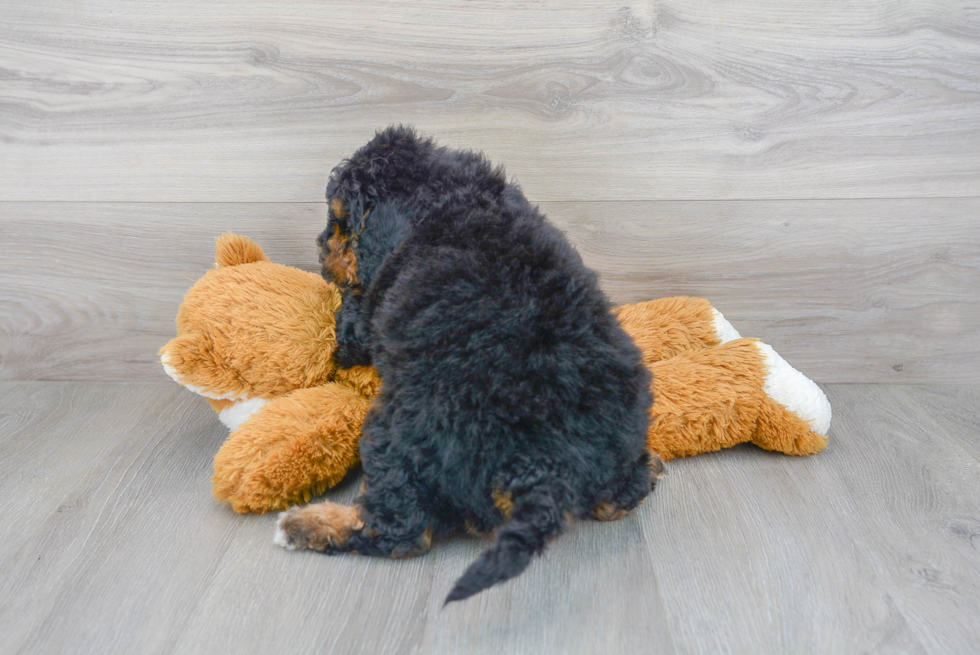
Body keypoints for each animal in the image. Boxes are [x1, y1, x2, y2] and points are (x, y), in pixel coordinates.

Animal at [276, 127, 660, 604]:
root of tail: (545, 467)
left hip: (397, 430)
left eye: (341, 221)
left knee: (399, 532)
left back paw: (304, 525)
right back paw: (646, 472)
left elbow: (351, 321)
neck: (449, 196)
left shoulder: (373, 306)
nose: (320, 249)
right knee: (622, 493)